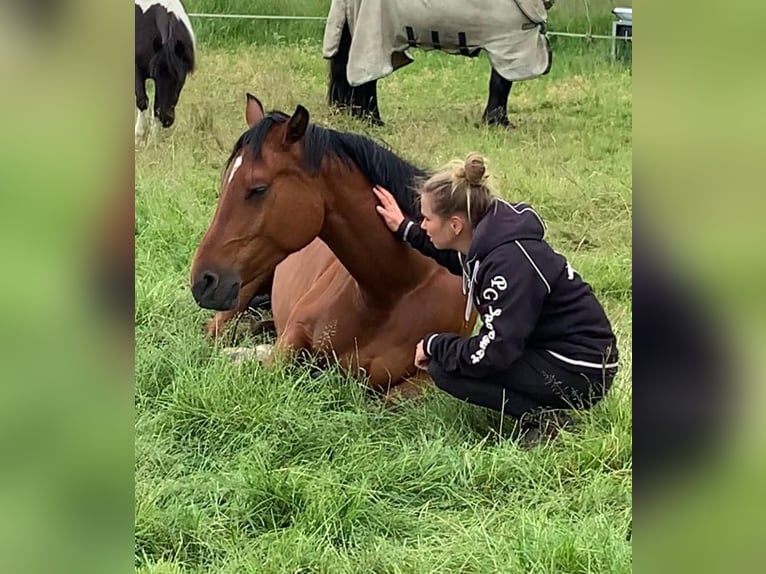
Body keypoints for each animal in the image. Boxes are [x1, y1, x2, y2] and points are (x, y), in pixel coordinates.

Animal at [134, 0, 195, 142]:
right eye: (154, 74)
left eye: (179, 79)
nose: (166, 119)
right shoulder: (137, 71)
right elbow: (142, 101)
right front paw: (139, 136)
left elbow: (156, 105)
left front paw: (153, 140)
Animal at [323, 0, 553, 127]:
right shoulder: (509, 44)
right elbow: (501, 84)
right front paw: (497, 122)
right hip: (373, 35)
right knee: (366, 78)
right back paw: (374, 121)